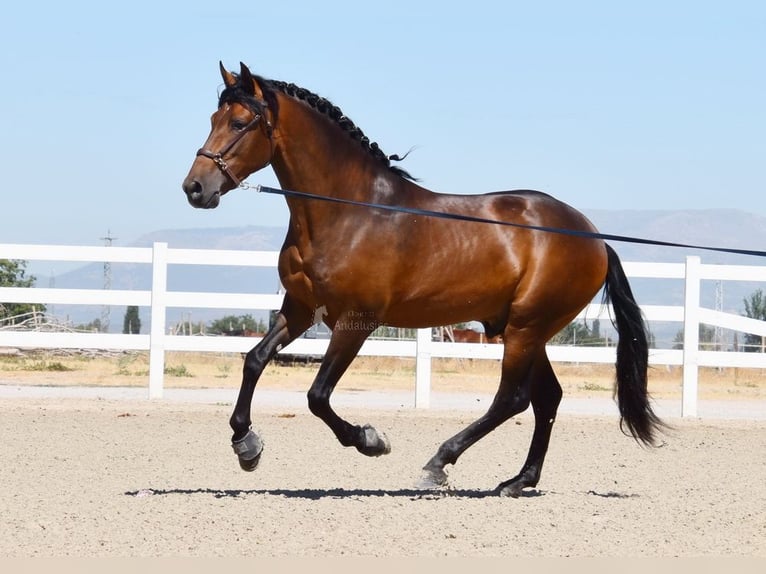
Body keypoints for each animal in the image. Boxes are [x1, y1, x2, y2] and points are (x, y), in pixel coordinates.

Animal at [183, 60, 664, 498]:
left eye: (240, 123)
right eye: (212, 120)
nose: (194, 188)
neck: (346, 212)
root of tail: (594, 238)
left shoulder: (356, 321)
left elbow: (317, 395)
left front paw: (371, 440)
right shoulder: (300, 310)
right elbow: (254, 360)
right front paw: (246, 446)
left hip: (526, 328)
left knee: (512, 399)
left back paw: (439, 462)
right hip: (527, 330)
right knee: (547, 398)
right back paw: (516, 481)